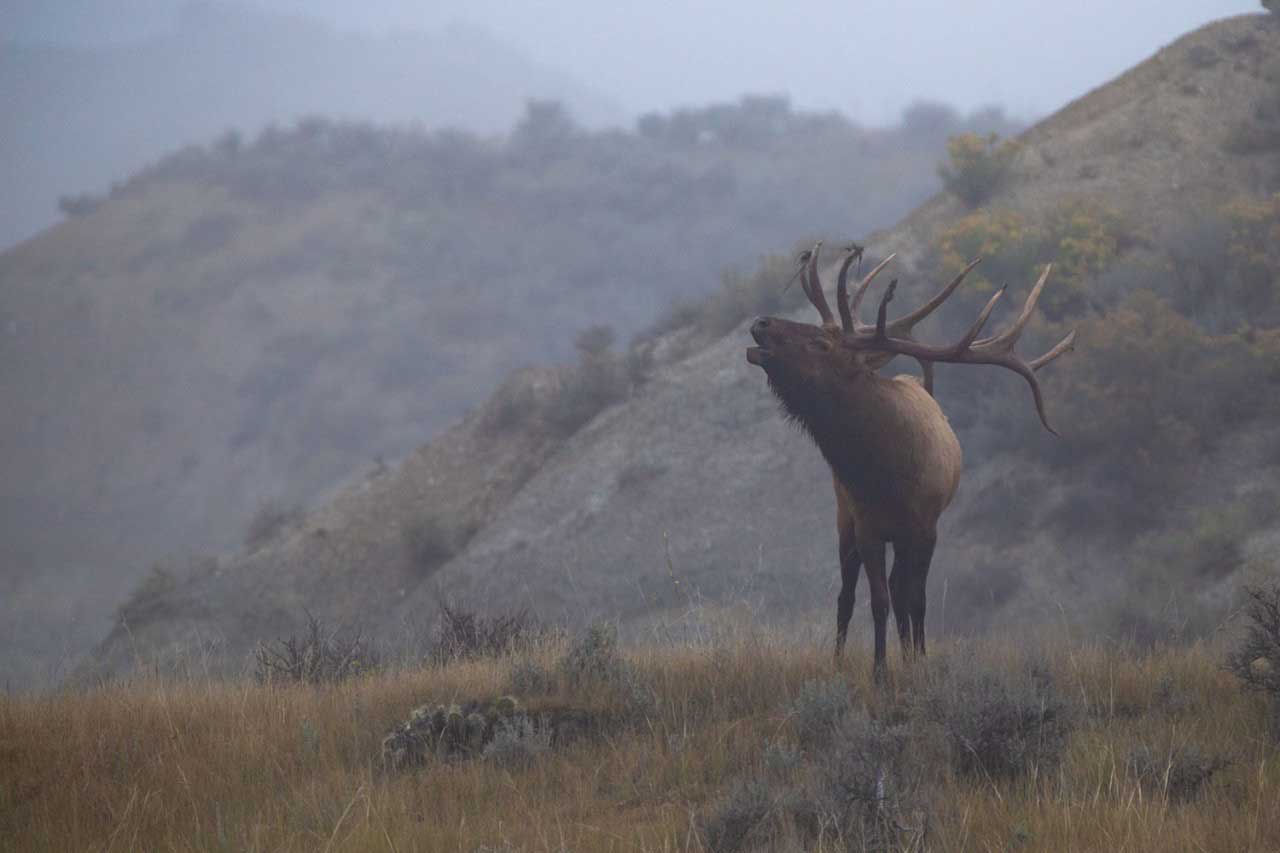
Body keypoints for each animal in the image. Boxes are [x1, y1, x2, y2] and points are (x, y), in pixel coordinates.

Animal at [745, 242, 1075, 678]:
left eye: (822, 344)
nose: (760, 323)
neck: (887, 477)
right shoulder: (867, 528)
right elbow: (878, 602)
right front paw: (880, 672)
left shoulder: (925, 528)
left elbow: (915, 600)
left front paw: (917, 659)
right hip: (844, 520)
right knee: (847, 596)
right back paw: (840, 660)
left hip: (902, 536)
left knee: (901, 591)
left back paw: (909, 652)